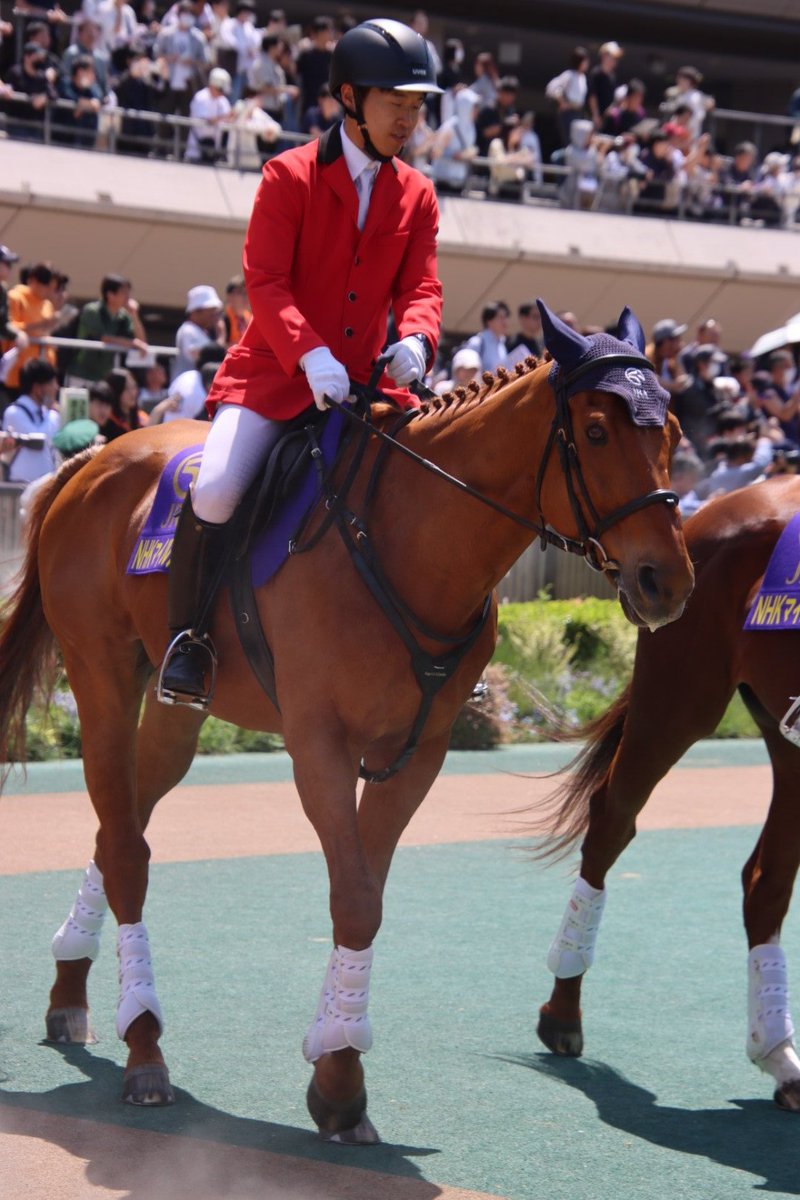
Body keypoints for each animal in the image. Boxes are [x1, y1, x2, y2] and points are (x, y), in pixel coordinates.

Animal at [0, 302, 694, 1144]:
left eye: (673, 431)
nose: (667, 581)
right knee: (127, 850)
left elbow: (368, 894)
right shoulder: (320, 748)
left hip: (174, 720)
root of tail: (97, 456)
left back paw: (71, 991)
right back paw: (144, 1046)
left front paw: (336, 1064)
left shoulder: (418, 754)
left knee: (116, 828)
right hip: (102, 679)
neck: (407, 540)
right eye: (595, 431)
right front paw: (339, 1071)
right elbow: (355, 898)